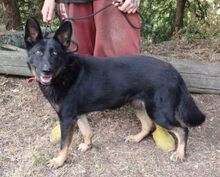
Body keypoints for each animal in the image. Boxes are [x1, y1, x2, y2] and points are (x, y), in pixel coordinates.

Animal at [24, 17, 205, 168]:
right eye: (38, 53)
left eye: (55, 53)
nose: (46, 71)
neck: (64, 72)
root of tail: (174, 71)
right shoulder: (78, 114)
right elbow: (86, 131)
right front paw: (87, 145)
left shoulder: (67, 118)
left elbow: (63, 144)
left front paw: (59, 161)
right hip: (138, 104)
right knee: (148, 125)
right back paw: (136, 138)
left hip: (159, 112)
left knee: (183, 129)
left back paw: (180, 154)